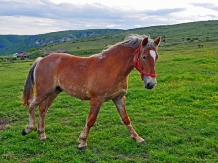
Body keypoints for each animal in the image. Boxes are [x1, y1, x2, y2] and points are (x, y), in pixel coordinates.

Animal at [22, 33, 161, 150]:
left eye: (156, 57)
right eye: (144, 57)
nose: (151, 84)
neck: (111, 68)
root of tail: (41, 60)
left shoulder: (119, 98)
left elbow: (126, 119)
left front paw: (137, 138)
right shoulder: (96, 100)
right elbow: (90, 120)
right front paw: (82, 142)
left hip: (53, 92)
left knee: (42, 109)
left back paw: (41, 135)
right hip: (43, 92)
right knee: (31, 104)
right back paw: (28, 129)